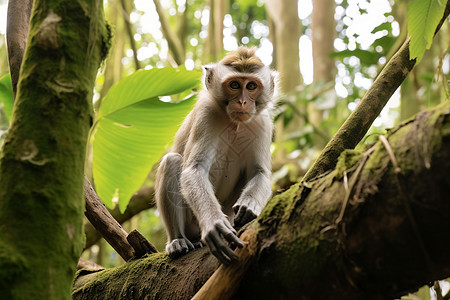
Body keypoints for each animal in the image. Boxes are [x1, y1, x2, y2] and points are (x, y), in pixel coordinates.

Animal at [156, 47, 278, 264]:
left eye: (252, 86)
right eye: (235, 85)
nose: (243, 102)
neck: (234, 122)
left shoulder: (262, 122)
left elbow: (259, 172)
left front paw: (249, 206)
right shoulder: (206, 113)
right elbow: (195, 169)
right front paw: (214, 224)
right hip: (191, 222)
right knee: (172, 161)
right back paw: (178, 240)